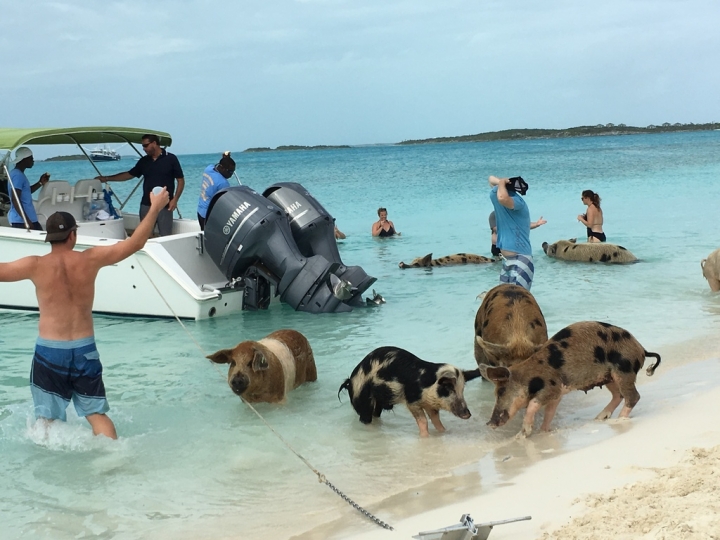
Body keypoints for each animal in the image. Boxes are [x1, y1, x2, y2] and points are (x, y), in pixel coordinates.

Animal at [480, 320, 660, 438]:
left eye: (501, 392)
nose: (489, 423)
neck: (529, 377)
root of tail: (642, 349)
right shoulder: (557, 394)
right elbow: (550, 412)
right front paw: (544, 432)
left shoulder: (551, 388)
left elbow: (533, 405)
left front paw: (523, 434)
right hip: (609, 377)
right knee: (619, 395)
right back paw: (600, 418)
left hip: (624, 371)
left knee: (633, 396)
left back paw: (619, 419)